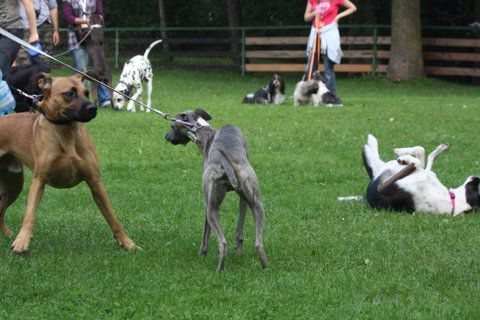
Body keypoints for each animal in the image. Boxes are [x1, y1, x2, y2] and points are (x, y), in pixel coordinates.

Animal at [0, 72, 138, 252]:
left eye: (86, 93)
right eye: (69, 93)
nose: (93, 108)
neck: (66, 132)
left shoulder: (95, 182)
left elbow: (112, 216)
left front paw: (126, 242)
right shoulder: (39, 181)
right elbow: (29, 214)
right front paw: (22, 241)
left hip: (13, 183)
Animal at [165, 109, 268, 272]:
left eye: (172, 126)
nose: (166, 137)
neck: (205, 132)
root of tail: (225, 160)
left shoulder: (206, 206)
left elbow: (205, 234)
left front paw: (202, 252)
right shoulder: (244, 199)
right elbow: (240, 225)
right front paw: (238, 248)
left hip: (211, 208)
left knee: (223, 243)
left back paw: (219, 269)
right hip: (257, 205)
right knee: (258, 243)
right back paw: (265, 266)